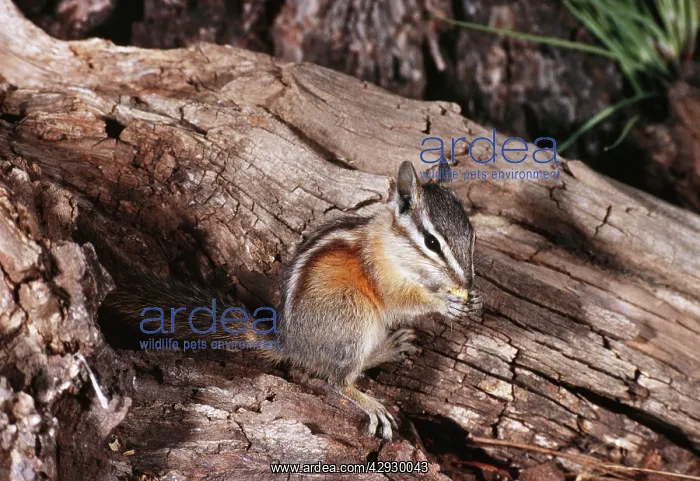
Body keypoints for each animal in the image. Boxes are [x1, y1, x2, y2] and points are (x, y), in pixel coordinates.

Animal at [100, 161, 483, 440]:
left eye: (473, 236)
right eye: (432, 242)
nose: (466, 281)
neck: (393, 242)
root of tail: (290, 344)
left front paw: (474, 298)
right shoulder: (383, 274)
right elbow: (403, 299)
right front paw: (444, 303)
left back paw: (389, 347)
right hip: (352, 317)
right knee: (337, 380)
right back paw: (369, 399)